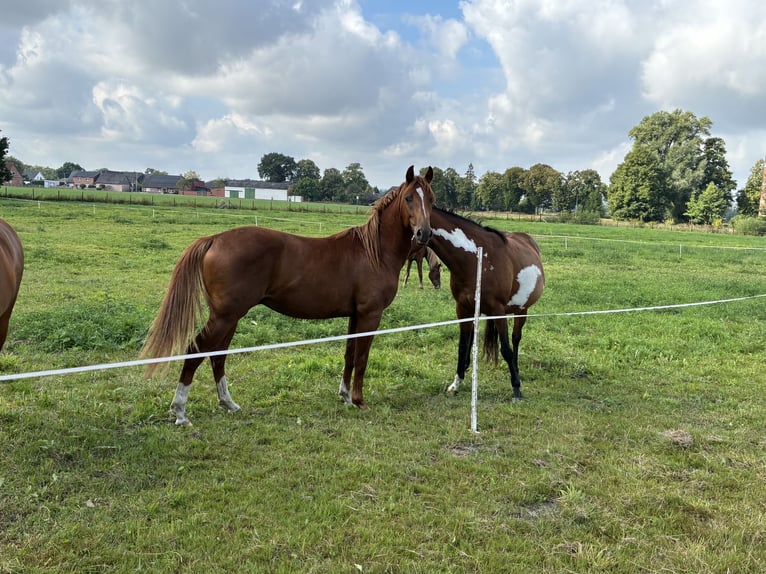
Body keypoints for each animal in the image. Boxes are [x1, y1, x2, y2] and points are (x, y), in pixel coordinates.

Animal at [141, 165, 435, 425]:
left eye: (431, 199)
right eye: (408, 198)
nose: (424, 233)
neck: (374, 253)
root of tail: (215, 239)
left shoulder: (355, 315)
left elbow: (349, 355)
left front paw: (345, 396)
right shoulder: (370, 315)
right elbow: (361, 358)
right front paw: (359, 401)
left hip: (228, 317)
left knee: (217, 356)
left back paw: (228, 403)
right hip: (225, 317)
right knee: (196, 350)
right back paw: (180, 411)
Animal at [427, 208, 544, 400]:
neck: (475, 259)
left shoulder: (498, 311)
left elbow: (506, 349)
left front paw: (516, 388)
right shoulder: (463, 309)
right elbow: (462, 347)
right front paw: (456, 383)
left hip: (522, 310)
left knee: (515, 339)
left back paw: (516, 371)